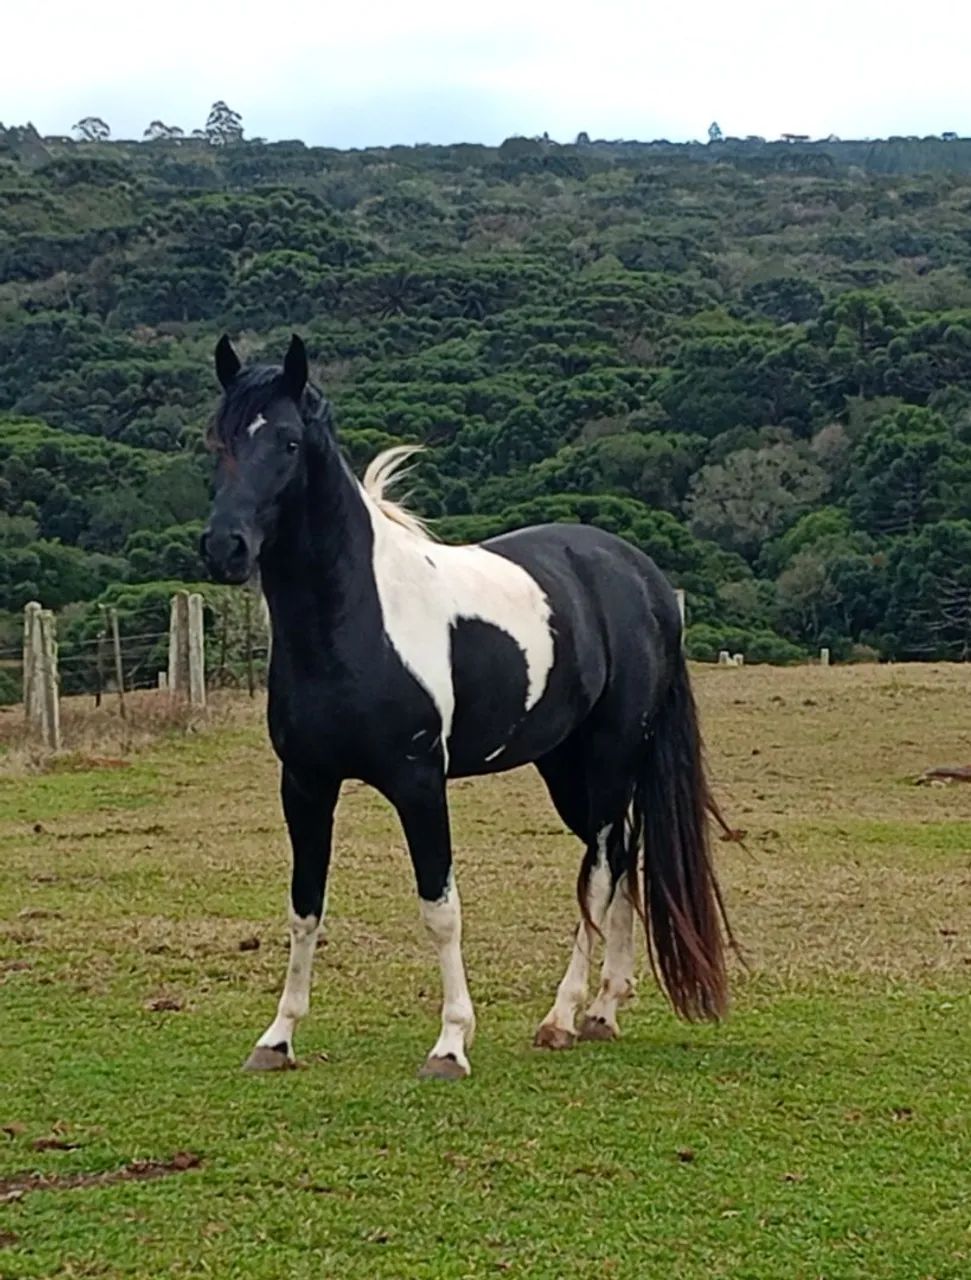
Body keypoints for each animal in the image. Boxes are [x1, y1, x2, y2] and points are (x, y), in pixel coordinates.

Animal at [200, 333, 733, 1080]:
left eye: (287, 442)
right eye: (215, 440)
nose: (224, 547)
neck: (355, 619)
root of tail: (643, 577)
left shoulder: (419, 782)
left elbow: (440, 909)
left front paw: (450, 1043)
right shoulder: (304, 784)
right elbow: (304, 908)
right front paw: (277, 1039)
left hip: (609, 758)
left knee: (599, 872)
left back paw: (561, 1017)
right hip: (566, 768)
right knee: (620, 855)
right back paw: (603, 1010)